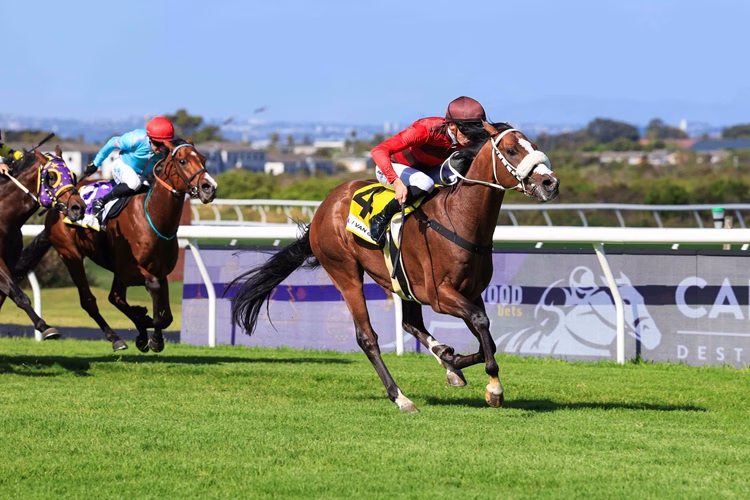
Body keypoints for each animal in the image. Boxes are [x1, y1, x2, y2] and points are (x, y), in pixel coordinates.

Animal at [0, 147, 86, 338]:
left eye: (73, 175)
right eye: (51, 177)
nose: (78, 208)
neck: (4, 218)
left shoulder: (10, 261)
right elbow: (20, 295)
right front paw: (45, 327)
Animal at [14, 139, 218, 352]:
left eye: (203, 159)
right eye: (183, 161)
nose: (209, 187)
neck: (152, 216)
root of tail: (56, 207)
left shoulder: (160, 271)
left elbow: (167, 315)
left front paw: (151, 333)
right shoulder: (129, 268)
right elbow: (153, 290)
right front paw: (151, 332)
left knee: (115, 297)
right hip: (71, 254)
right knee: (90, 300)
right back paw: (118, 337)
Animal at [229, 123, 560, 413]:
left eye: (534, 145)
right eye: (512, 149)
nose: (550, 183)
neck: (459, 219)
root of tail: (325, 206)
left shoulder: (470, 292)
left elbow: (484, 336)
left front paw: (453, 362)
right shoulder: (440, 295)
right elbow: (481, 324)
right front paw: (494, 388)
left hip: (402, 283)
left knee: (410, 323)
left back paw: (444, 361)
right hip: (345, 272)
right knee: (367, 338)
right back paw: (401, 398)